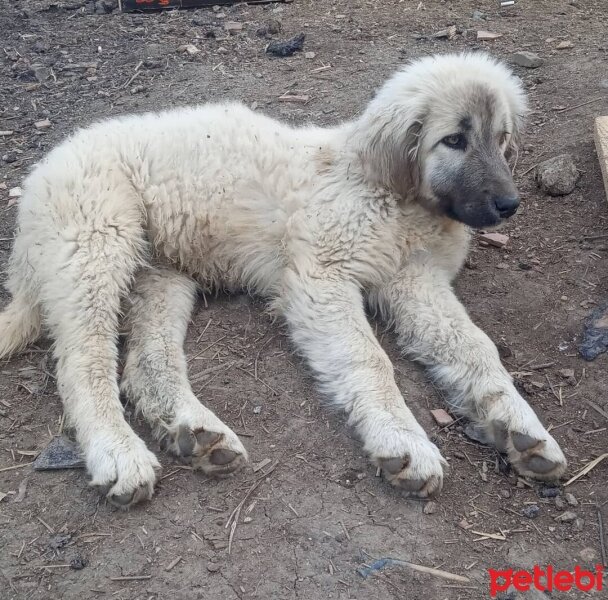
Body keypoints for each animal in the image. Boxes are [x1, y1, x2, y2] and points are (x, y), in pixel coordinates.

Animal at [0, 52, 568, 506]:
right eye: (453, 140)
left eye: (501, 138)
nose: (509, 205)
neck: (391, 195)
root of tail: (40, 178)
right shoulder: (322, 277)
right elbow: (371, 360)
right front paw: (402, 441)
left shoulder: (414, 281)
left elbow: (476, 348)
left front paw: (521, 427)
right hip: (96, 245)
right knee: (84, 363)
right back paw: (118, 453)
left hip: (160, 276)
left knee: (146, 365)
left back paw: (196, 433)